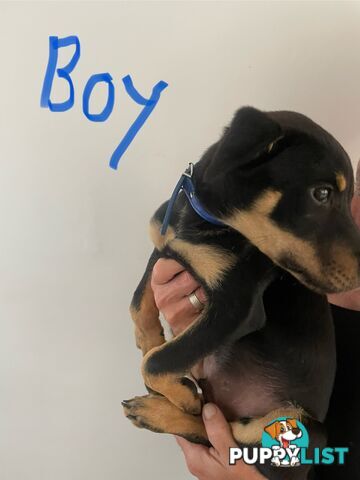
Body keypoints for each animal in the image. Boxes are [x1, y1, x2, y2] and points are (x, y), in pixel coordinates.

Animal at [121, 107, 360, 478]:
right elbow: (138, 305)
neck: (206, 220)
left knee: (219, 434)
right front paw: (148, 340)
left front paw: (179, 391)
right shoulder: (165, 247)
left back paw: (160, 410)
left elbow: (157, 362)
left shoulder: (237, 305)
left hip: (298, 427)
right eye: (321, 194)